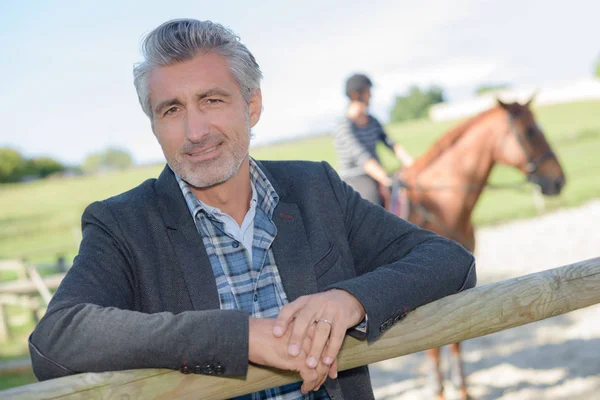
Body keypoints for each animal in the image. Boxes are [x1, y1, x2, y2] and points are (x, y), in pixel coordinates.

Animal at [392, 97, 564, 400]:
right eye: (530, 131)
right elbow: (433, 345)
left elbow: (454, 337)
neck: (438, 205)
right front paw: (439, 389)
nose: (558, 180)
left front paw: (461, 388)